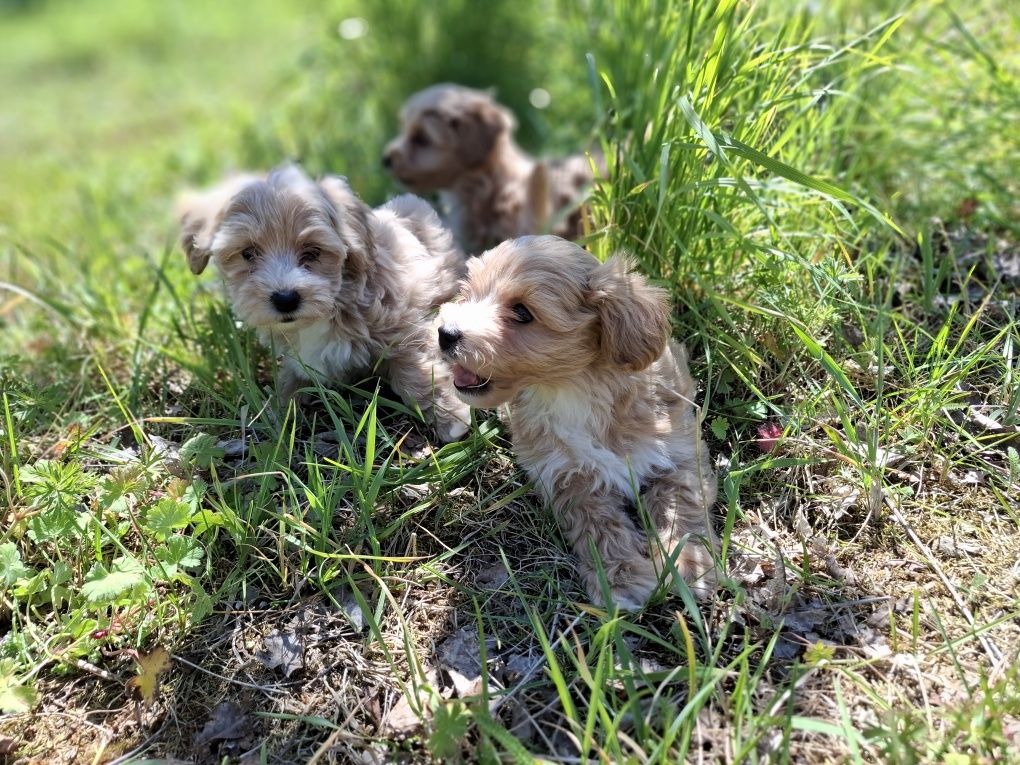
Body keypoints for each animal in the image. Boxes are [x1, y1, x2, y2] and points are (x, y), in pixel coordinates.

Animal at [178, 165, 469, 446]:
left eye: (313, 252)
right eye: (247, 253)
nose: (285, 299)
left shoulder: (402, 325)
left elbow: (416, 369)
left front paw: (450, 418)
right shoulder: (300, 360)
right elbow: (290, 382)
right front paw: (276, 413)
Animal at [436, 236, 718, 607]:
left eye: (522, 312)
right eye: (467, 293)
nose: (445, 333)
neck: (572, 387)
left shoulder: (679, 452)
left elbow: (681, 508)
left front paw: (688, 564)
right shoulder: (567, 477)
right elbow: (598, 527)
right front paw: (621, 579)